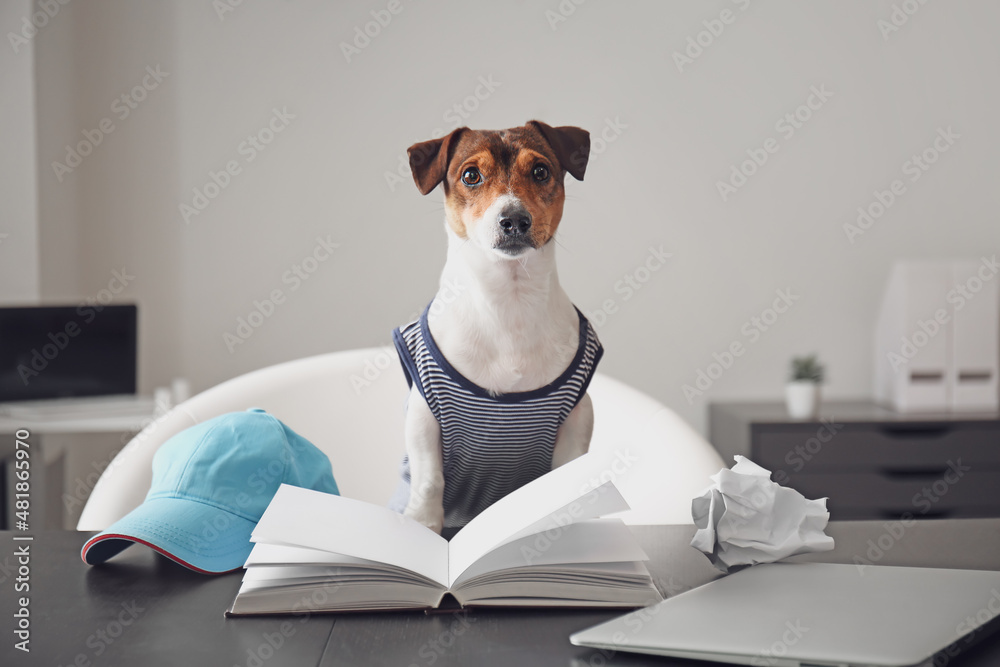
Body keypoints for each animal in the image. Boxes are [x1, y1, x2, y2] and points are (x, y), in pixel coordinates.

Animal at [386, 120, 596, 536]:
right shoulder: (423, 414)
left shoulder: (578, 417)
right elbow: (430, 480)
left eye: (540, 171)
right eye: (471, 175)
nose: (514, 219)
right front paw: (424, 527)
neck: (508, 302)